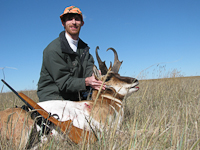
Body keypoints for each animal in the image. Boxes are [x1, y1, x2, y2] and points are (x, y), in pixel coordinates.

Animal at [0, 46, 139, 148]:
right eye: (109, 77)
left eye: (118, 74)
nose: (135, 81)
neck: (103, 101)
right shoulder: (103, 128)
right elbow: (129, 133)